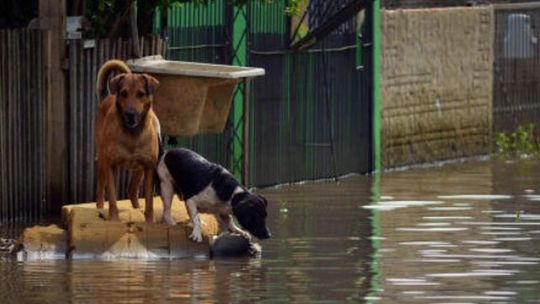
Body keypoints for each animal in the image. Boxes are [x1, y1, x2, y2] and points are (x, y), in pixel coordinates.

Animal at [95, 59, 160, 222]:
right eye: (124, 93)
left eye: (140, 94)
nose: (130, 114)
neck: (132, 134)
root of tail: (107, 97)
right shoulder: (111, 165)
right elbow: (112, 197)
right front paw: (113, 219)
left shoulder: (149, 167)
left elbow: (149, 200)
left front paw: (149, 220)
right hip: (102, 160)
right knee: (101, 187)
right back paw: (100, 208)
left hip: (139, 169)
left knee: (132, 189)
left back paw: (137, 208)